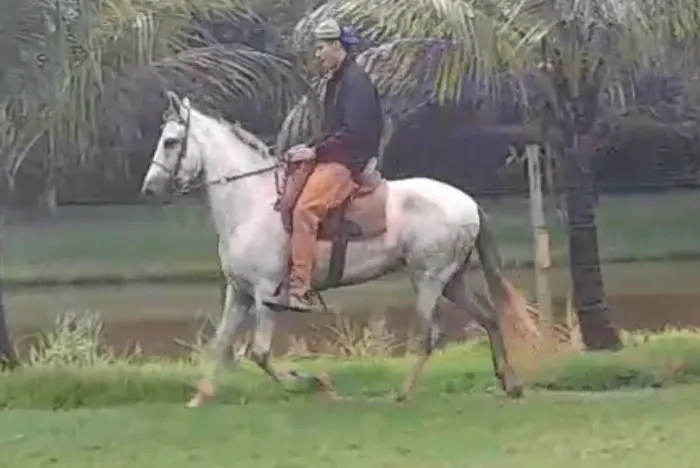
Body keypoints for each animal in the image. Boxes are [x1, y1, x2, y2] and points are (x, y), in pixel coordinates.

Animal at [140, 91, 530, 407]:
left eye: (171, 141)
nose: (149, 188)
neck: (252, 204)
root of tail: (468, 202)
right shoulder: (239, 294)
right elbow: (220, 344)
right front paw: (200, 397)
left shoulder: (266, 294)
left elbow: (260, 353)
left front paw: (313, 383)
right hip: (453, 280)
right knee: (489, 317)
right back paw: (510, 383)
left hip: (429, 280)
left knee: (429, 335)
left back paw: (404, 392)